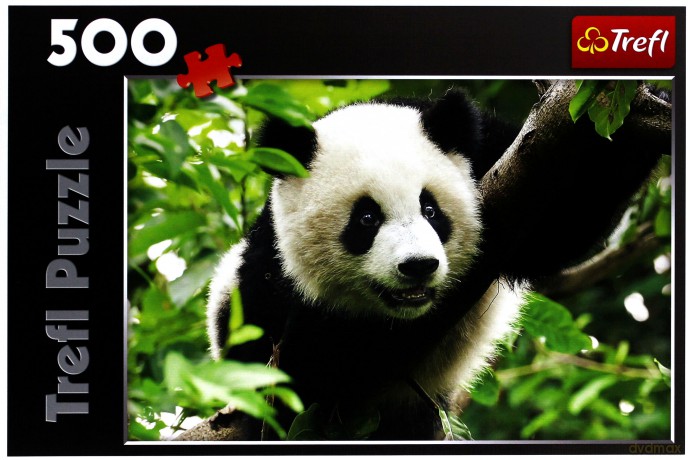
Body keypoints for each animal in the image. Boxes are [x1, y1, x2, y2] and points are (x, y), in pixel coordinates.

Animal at [205, 88, 663, 440]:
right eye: (366, 218)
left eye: (431, 209)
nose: (418, 266)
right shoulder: (265, 281)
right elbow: (306, 369)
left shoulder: (494, 155)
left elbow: (562, 226)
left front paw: (639, 113)